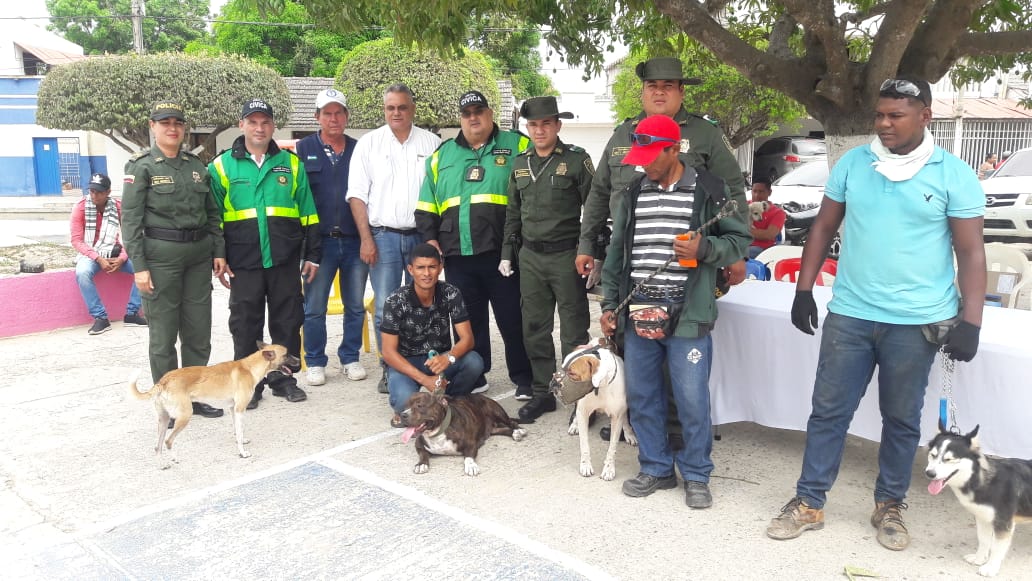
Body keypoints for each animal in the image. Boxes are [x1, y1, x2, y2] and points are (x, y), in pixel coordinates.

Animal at [129, 340, 299, 468]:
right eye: (287, 354)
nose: (299, 360)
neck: (249, 368)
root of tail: (163, 381)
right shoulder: (240, 409)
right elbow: (239, 432)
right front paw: (242, 453)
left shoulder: (233, 409)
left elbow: (238, 431)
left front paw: (241, 440)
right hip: (184, 417)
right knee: (168, 441)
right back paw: (174, 458)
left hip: (163, 420)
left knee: (157, 446)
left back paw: (162, 464)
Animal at [398, 390, 528, 476]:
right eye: (404, 406)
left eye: (420, 405)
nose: (403, 414)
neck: (438, 432)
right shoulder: (419, 444)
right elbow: (423, 454)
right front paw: (421, 464)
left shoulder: (471, 444)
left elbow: (468, 457)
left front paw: (470, 466)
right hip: (491, 428)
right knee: (502, 430)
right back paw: (514, 433)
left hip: (497, 411)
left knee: (511, 422)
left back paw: (519, 430)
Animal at [561, 336, 631, 482]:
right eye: (562, 367)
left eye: (572, 373)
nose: (554, 384)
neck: (600, 387)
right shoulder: (583, 412)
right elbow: (584, 444)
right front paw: (585, 465)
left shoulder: (617, 416)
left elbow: (612, 447)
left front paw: (609, 469)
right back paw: (574, 424)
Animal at [928, 423, 1032, 577]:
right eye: (933, 455)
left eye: (949, 459)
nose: (929, 473)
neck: (980, 479)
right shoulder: (982, 517)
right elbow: (983, 539)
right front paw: (979, 558)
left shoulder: (1003, 523)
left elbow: (996, 548)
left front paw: (991, 567)